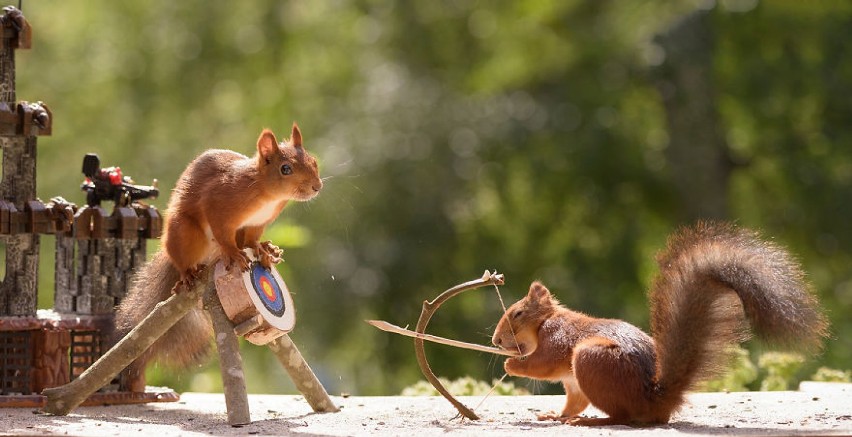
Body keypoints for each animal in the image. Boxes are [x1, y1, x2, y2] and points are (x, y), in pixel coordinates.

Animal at [115, 122, 322, 388]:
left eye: (313, 162)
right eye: (285, 169)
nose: (317, 186)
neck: (265, 192)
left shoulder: (258, 223)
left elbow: (252, 239)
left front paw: (261, 249)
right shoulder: (219, 204)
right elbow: (224, 235)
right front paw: (233, 252)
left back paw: (269, 250)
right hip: (184, 233)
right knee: (182, 258)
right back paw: (188, 274)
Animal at [490, 221, 828, 426]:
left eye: (517, 313)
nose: (496, 341)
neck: (545, 322)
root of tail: (654, 403)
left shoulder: (557, 338)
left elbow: (543, 363)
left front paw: (511, 365)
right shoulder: (572, 384)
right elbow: (572, 401)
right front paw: (554, 416)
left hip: (591, 358)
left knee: (622, 416)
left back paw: (595, 420)